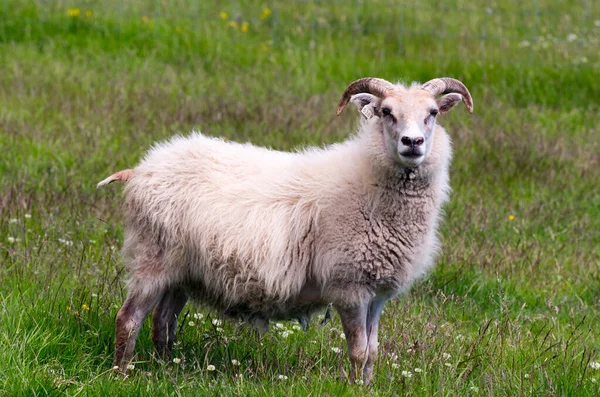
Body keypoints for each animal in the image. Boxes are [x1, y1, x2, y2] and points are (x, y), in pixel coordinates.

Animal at [99, 76, 474, 382]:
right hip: (153, 259)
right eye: (386, 112)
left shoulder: (378, 292)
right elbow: (358, 351)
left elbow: (373, 352)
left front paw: (368, 387)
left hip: (182, 271)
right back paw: (121, 375)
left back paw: (166, 368)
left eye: (433, 113)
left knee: (163, 321)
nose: (413, 143)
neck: (368, 182)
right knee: (128, 318)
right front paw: (354, 388)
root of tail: (142, 168)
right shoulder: (349, 286)